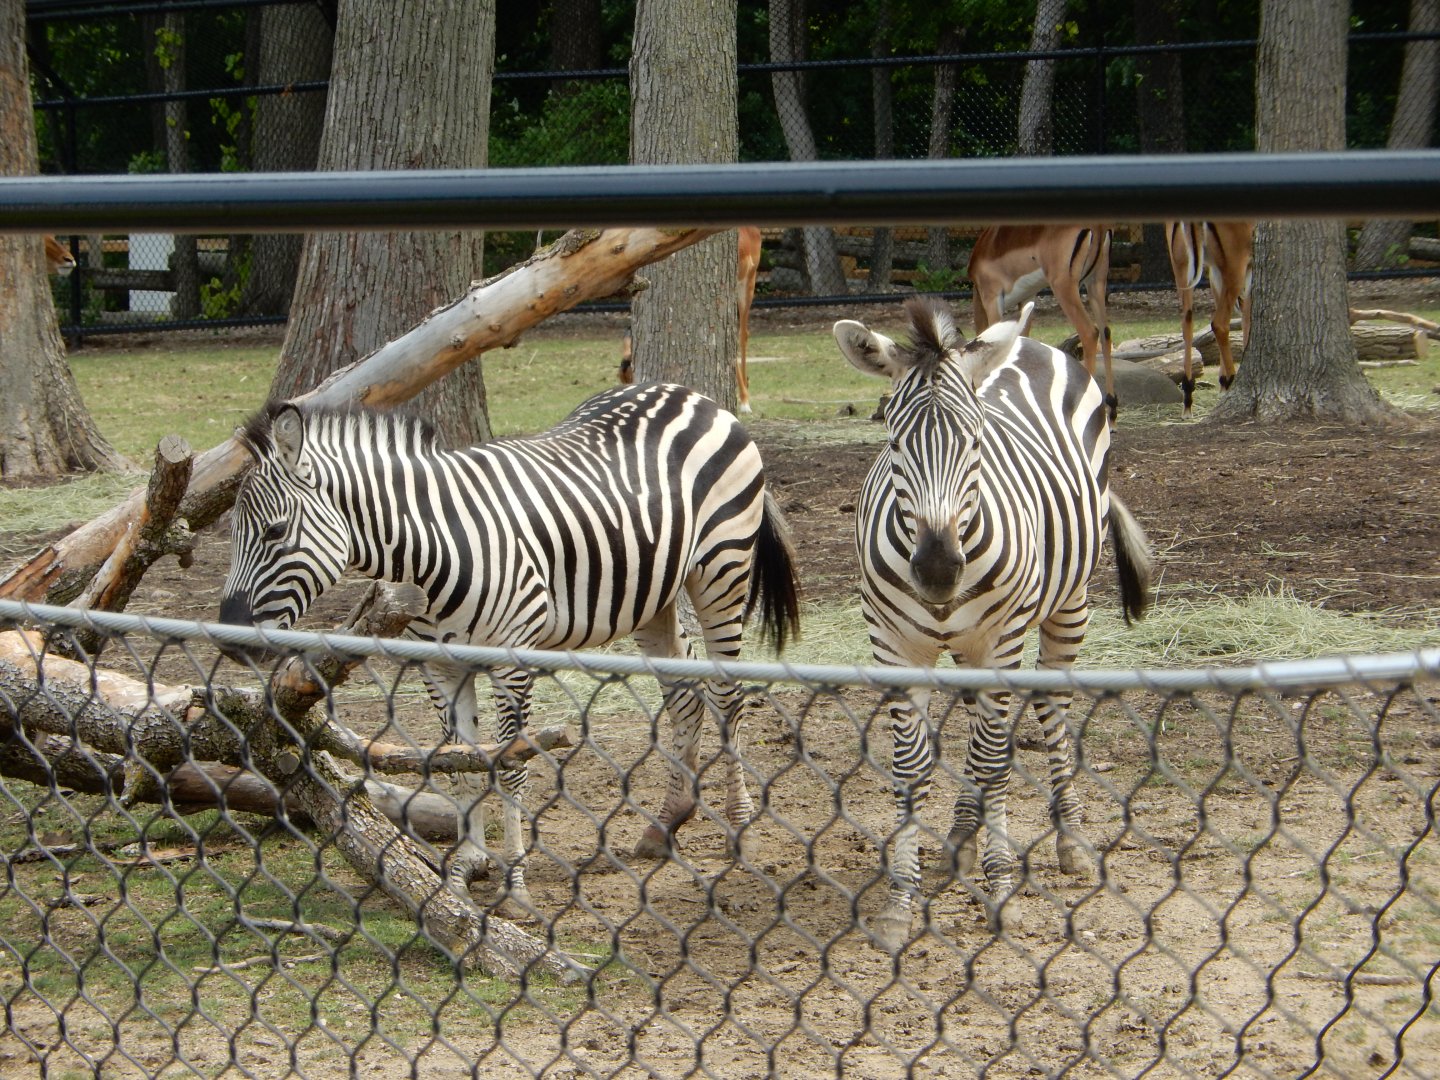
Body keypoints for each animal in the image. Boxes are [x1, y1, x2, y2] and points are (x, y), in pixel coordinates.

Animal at [218, 383, 801, 914]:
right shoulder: (441, 668)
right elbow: (459, 764)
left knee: (726, 696)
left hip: (722, 570)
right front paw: (462, 873)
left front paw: (515, 886)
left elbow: (509, 768)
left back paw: (741, 831)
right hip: (651, 596)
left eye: (274, 531)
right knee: (684, 694)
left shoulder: (513, 661)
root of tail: (692, 394)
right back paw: (665, 824)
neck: (434, 549)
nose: (227, 638)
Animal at [832, 297, 1152, 952]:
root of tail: (1029, 342)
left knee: (1048, 712)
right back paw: (960, 834)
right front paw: (900, 899)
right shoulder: (892, 646)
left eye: (977, 440)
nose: (936, 570)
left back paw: (1068, 840)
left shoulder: (1002, 642)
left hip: (1067, 605)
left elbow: (992, 759)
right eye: (893, 442)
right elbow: (912, 767)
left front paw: (1001, 885)